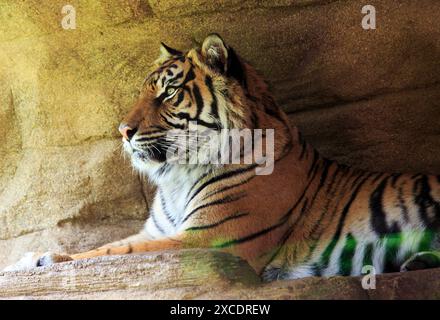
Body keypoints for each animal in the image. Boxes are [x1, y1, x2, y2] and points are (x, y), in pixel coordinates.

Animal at [4, 33, 440, 282]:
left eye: (168, 92)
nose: (122, 131)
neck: (177, 178)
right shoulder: (157, 232)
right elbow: (107, 246)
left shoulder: (209, 239)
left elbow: (107, 253)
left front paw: (31, 260)